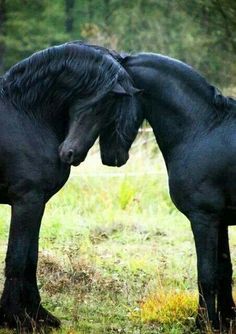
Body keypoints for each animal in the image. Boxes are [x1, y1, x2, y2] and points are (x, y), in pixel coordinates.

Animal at [0, 41, 137, 328]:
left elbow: (30, 258)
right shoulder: (26, 201)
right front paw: (14, 317)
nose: (70, 153)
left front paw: (39, 315)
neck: (25, 115)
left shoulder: (37, 203)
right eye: (101, 104)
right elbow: (17, 259)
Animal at [61, 51, 236, 330]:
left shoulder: (204, 219)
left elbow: (206, 274)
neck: (203, 129)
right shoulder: (220, 221)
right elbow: (224, 271)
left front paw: (203, 324)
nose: (68, 151)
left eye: (102, 103)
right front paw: (225, 321)